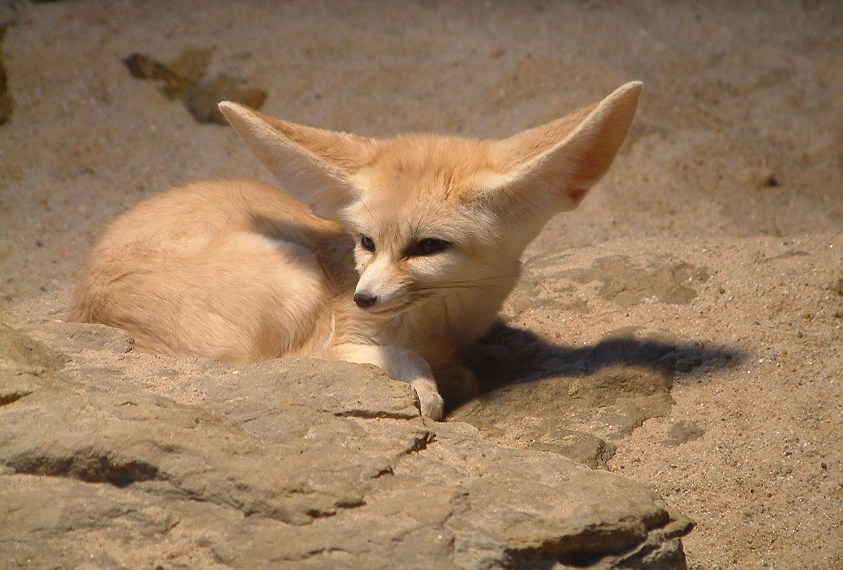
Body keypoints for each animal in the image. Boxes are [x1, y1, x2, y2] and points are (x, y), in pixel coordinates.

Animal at [72, 81, 644, 418]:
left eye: (428, 246)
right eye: (365, 243)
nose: (362, 298)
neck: (442, 318)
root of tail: (84, 305)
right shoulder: (333, 335)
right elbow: (398, 358)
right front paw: (429, 386)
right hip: (294, 276)